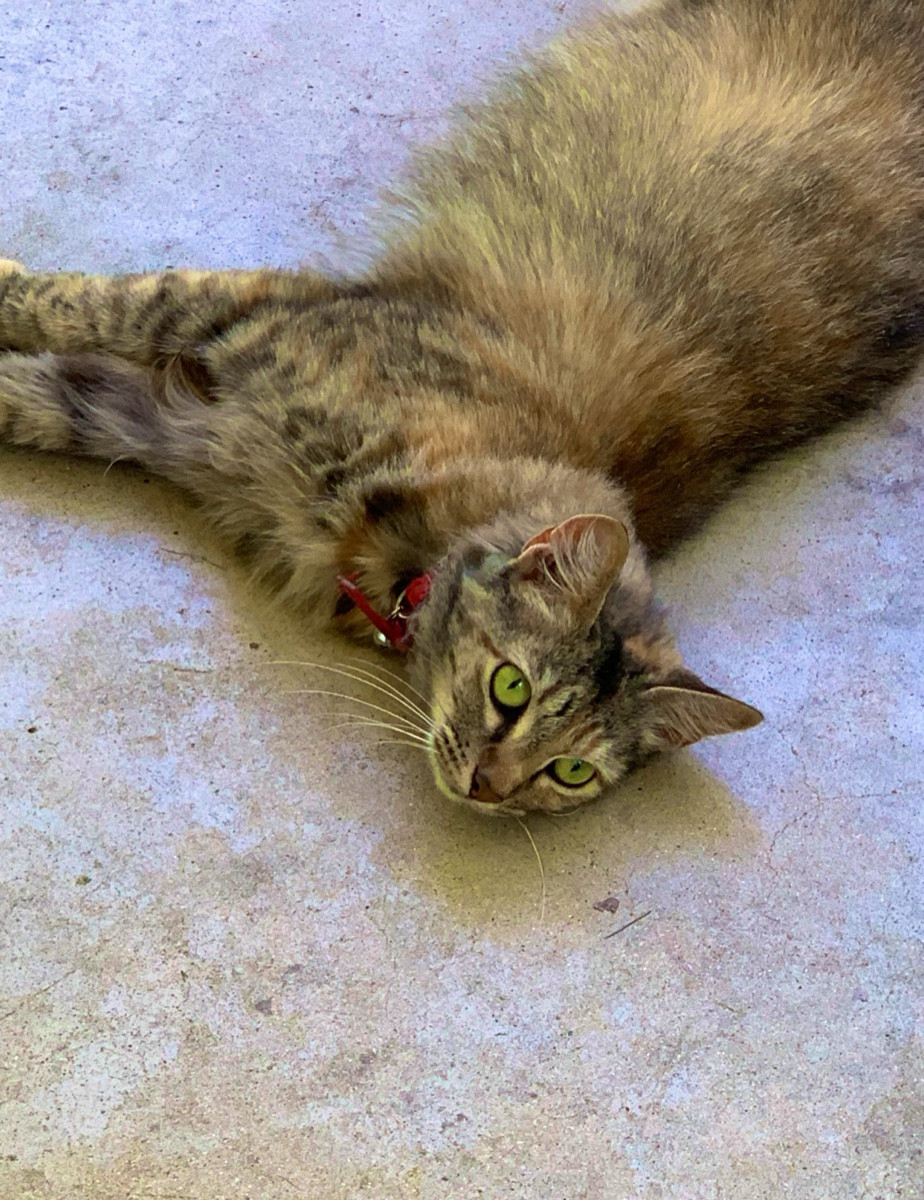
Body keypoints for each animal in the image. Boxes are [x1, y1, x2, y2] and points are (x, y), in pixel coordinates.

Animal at [1, 0, 921, 816]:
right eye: (509, 689)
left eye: (568, 774)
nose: (488, 787)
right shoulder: (238, 324)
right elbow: (85, 304)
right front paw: (11, 285)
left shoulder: (159, 421)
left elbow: (36, 394)